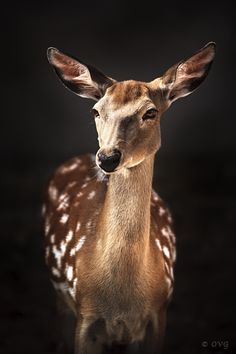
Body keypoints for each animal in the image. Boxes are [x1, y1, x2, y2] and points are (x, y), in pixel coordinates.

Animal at [42, 42, 216, 354]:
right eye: (96, 111)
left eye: (150, 112)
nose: (107, 157)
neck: (122, 299)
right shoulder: (84, 314)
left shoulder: (159, 313)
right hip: (60, 299)